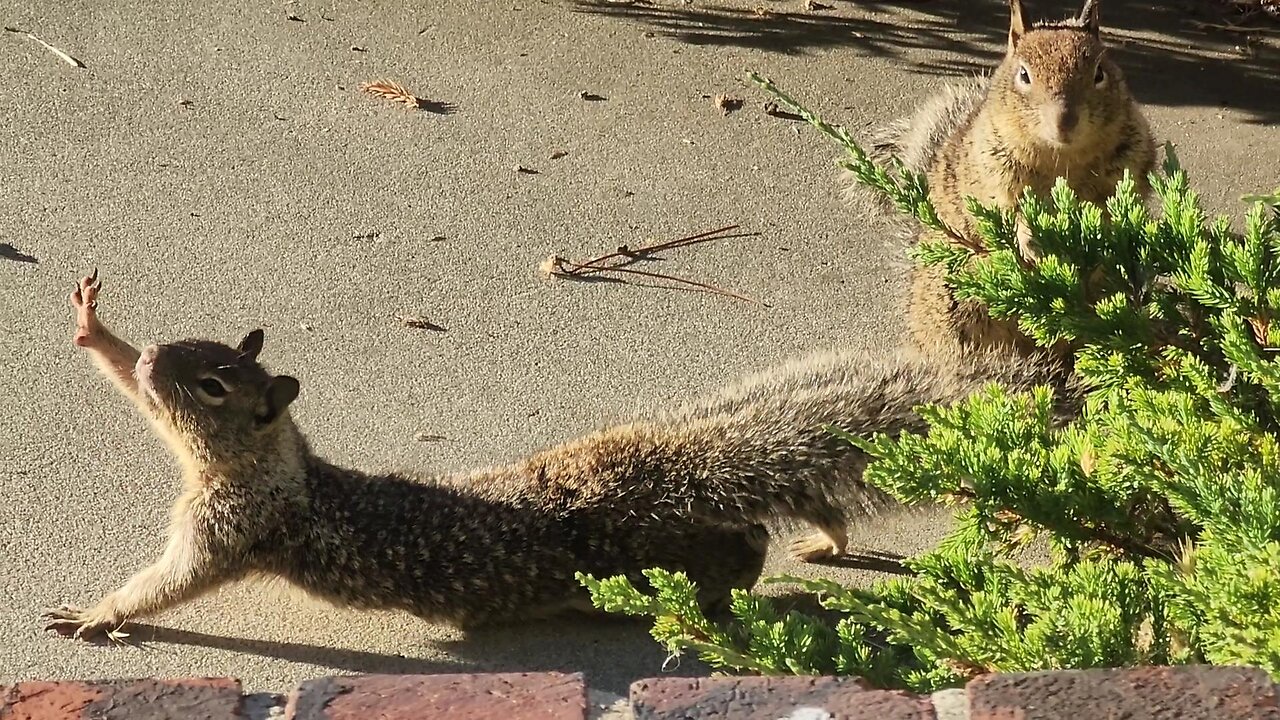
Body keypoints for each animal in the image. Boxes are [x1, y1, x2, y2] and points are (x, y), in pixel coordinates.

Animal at [45, 271, 1075, 635]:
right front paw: (101, 335)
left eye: (217, 386)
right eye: (189, 355)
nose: (154, 358)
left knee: (737, 554)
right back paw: (823, 538)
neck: (270, 463)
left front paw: (97, 614)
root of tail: (678, 473)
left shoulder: (233, 527)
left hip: (656, 559)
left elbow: (171, 584)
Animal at [844, 0, 1157, 353]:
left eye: (1100, 72)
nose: (1064, 122)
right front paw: (1029, 240)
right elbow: (1006, 210)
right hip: (956, 302)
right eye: (1024, 74)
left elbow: (1118, 203)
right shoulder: (992, 172)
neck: (1062, 159)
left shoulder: (1132, 159)